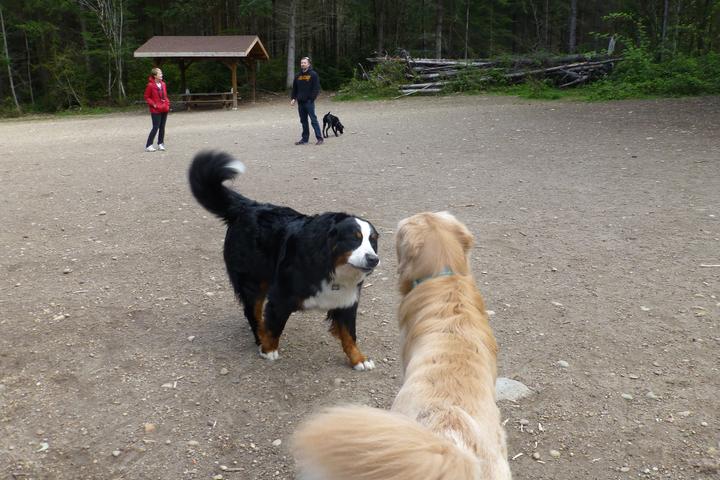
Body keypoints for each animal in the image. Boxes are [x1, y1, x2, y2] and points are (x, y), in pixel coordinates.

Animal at [191, 152, 380, 370]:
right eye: (354, 239)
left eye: (372, 241)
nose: (373, 259)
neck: (330, 267)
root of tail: (249, 207)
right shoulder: (281, 296)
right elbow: (275, 327)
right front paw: (268, 349)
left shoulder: (346, 301)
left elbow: (350, 334)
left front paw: (359, 359)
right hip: (253, 281)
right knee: (252, 312)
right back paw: (260, 337)